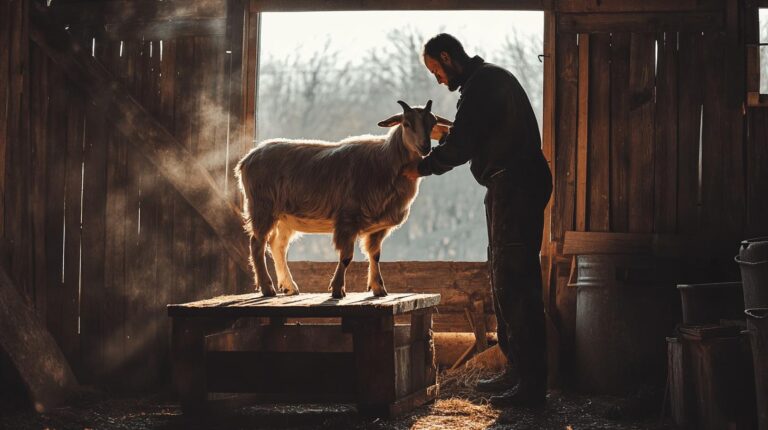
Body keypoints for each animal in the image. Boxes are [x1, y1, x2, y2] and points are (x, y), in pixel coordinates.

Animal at [235, 100, 451, 298]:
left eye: (432, 123)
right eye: (406, 123)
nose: (425, 147)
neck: (386, 162)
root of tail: (246, 160)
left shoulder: (378, 228)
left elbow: (375, 255)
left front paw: (379, 288)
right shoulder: (348, 219)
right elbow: (347, 256)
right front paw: (337, 289)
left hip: (284, 218)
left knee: (277, 246)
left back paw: (289, 287)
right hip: (262, 208)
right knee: (257, 244)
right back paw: (267, 288)